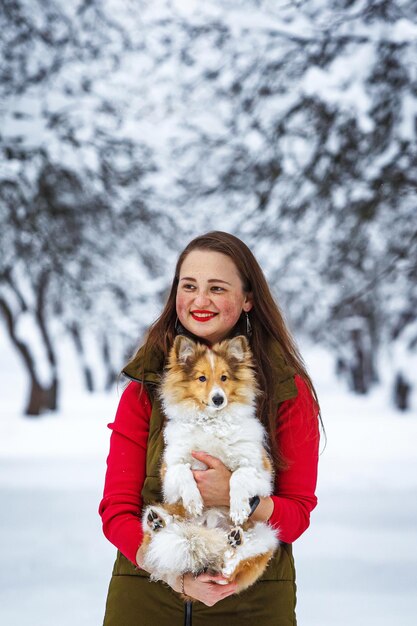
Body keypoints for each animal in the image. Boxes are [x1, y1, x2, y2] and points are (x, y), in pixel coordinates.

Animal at [141, 334, 280, 592]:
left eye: (224, 377)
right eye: (201, 377)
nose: (218, 399)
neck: (212, 422)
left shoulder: (259, 470)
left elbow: (238, 476)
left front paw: (238, 508)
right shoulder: (170, 470)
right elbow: (183, 471)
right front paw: (194, 501)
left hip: (265, 536)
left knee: (233, 566)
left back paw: (234, 544)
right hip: (167, 510)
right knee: (161, 529)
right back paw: (158, 522)